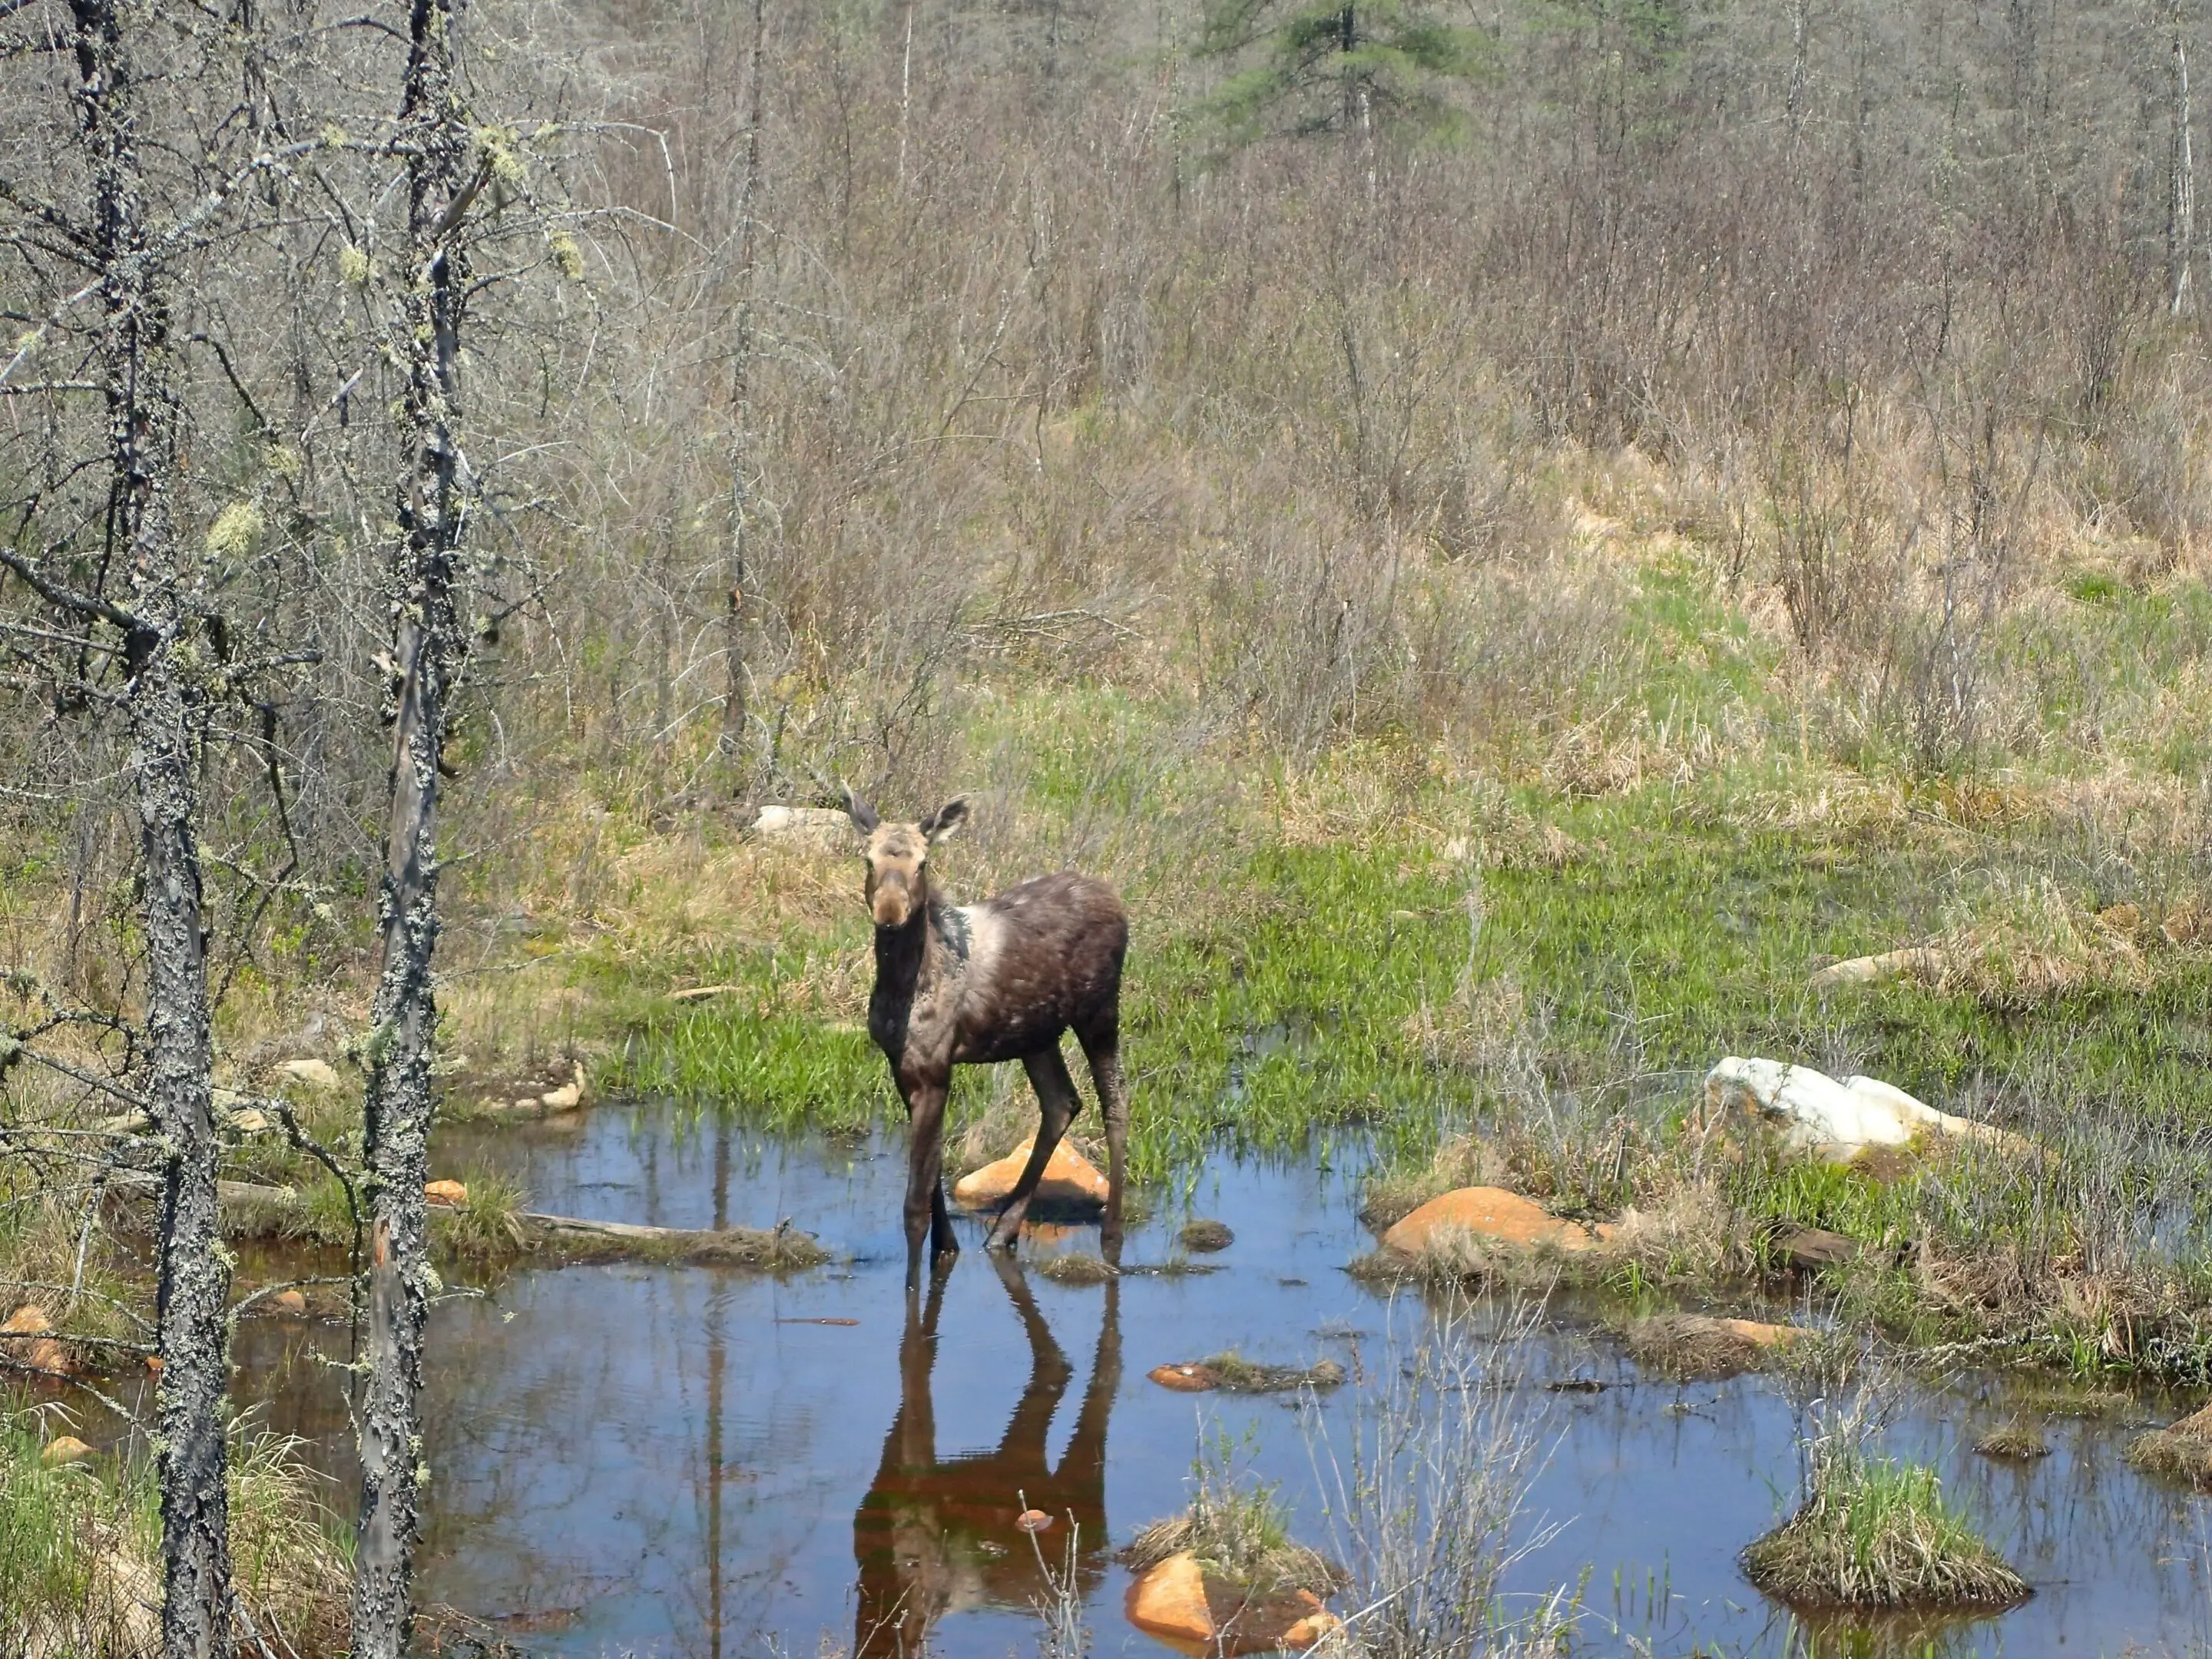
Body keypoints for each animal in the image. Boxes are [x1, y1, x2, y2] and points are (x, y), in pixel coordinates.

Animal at [840, 796, 1132, 1283]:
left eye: (923, 863)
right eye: (868, 860)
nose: (890, 913)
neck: (902, 986)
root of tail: (1115, 899)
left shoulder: (935, 1072)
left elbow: (914, 1206)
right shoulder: (902, 1066)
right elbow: (933, 1177)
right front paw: (949, 1247)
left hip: (1100, 1010)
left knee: (1116, 1104)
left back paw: (1112, 1234)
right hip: (1037, 1034)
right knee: (1063, 1102)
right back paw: (1003, 1231)